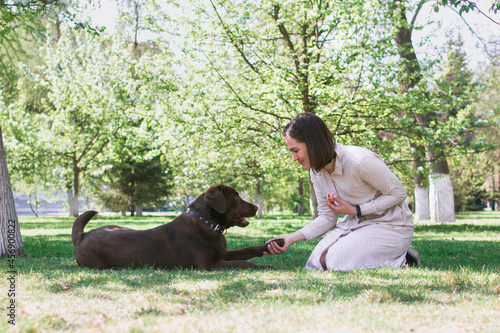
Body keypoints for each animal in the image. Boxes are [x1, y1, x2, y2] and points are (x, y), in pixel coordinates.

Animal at [71, 184, 282, 270]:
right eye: (236, 197)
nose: (256, 207)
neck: (207, 224)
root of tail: (82, 236)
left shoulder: (222, 253)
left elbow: (247, 250)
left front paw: (273, 244)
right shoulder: (209, 265)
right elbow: (245, 263)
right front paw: (265, 266)